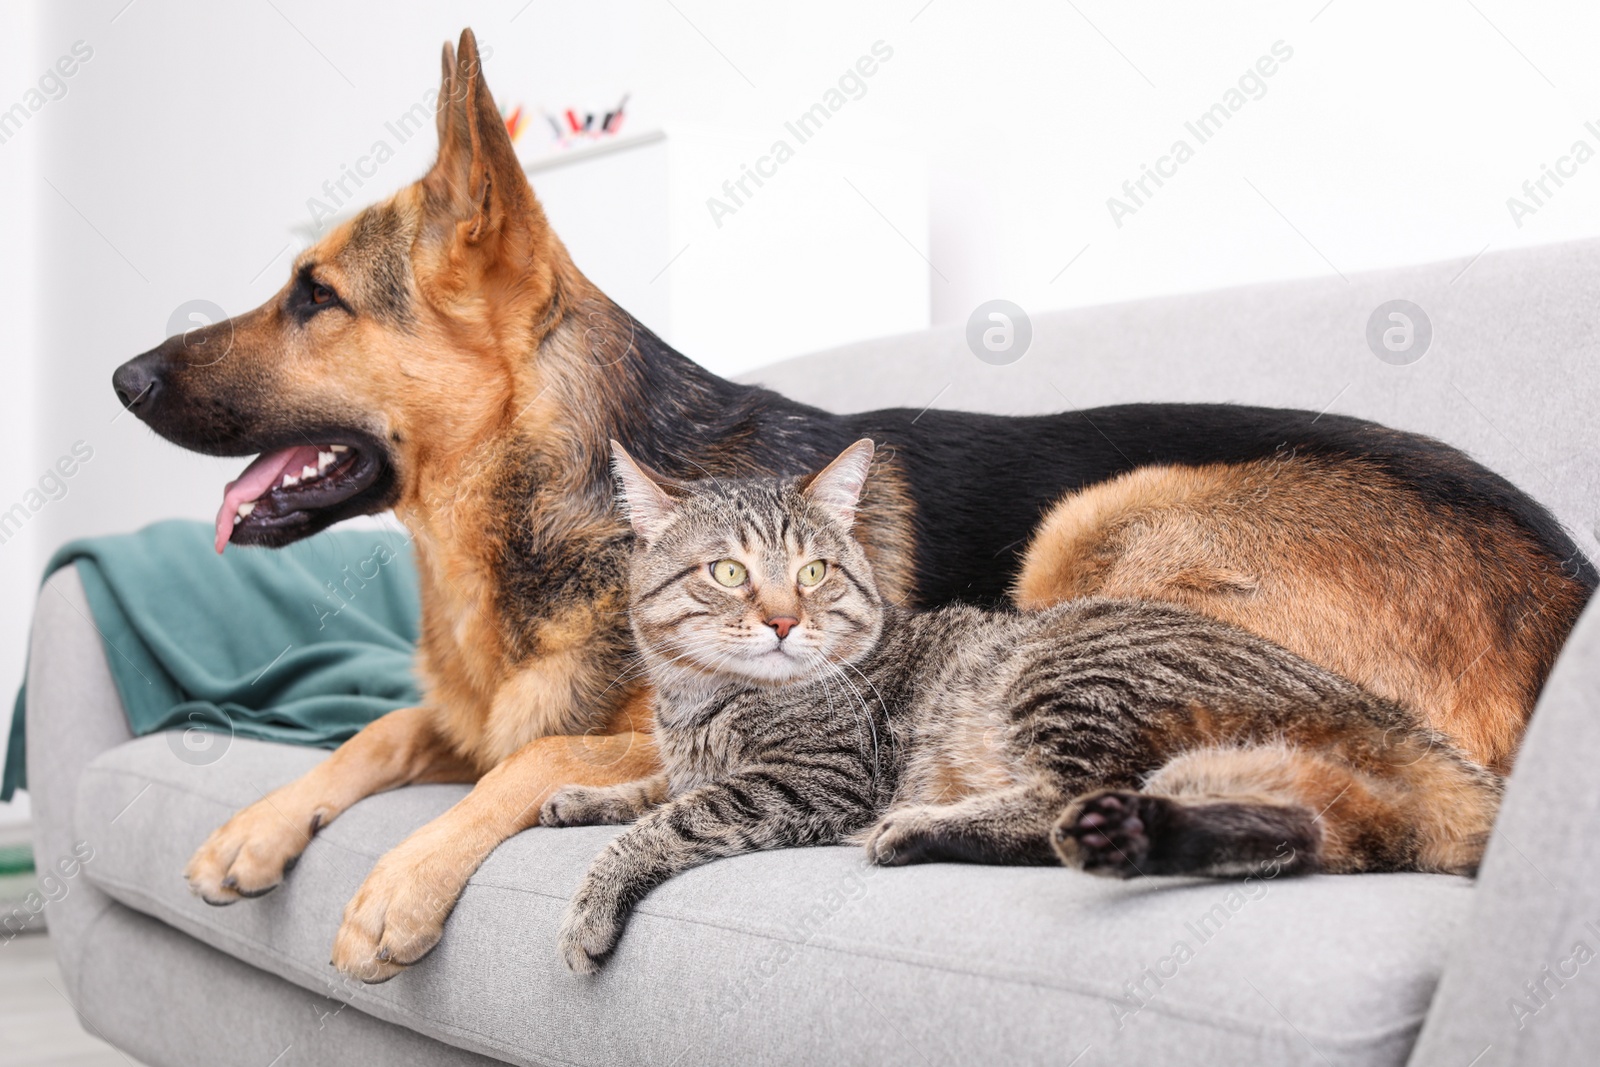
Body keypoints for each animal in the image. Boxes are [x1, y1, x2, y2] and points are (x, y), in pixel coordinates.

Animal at [544, 438, 1504, 972]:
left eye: (814, 572)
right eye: (727, 570)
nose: (784, 620)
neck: (700, 703)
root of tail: (1382, 711)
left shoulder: (811, 779)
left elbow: (674, 818)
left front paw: (592, 900)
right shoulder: (692, 758)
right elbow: (652, 788)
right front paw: (582, 796)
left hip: (1063, 680)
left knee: (1060, 804)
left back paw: (916, 827)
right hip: (1247, 776)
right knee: (1271, 834)